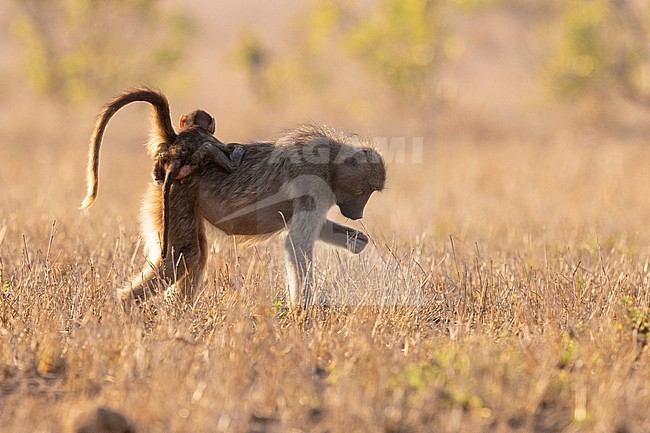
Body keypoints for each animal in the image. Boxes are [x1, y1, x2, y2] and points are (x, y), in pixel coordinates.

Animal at [116, 124, 386, 306]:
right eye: (363, 191)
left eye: (371, 192)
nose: (358, 214)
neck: (331, 162)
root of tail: (173, 158)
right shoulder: (315, 185)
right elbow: (297, 244)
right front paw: (302, 310)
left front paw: (357, 242)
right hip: (174, 197)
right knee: (184, 256)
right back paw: (124, 305)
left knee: (194, 256)